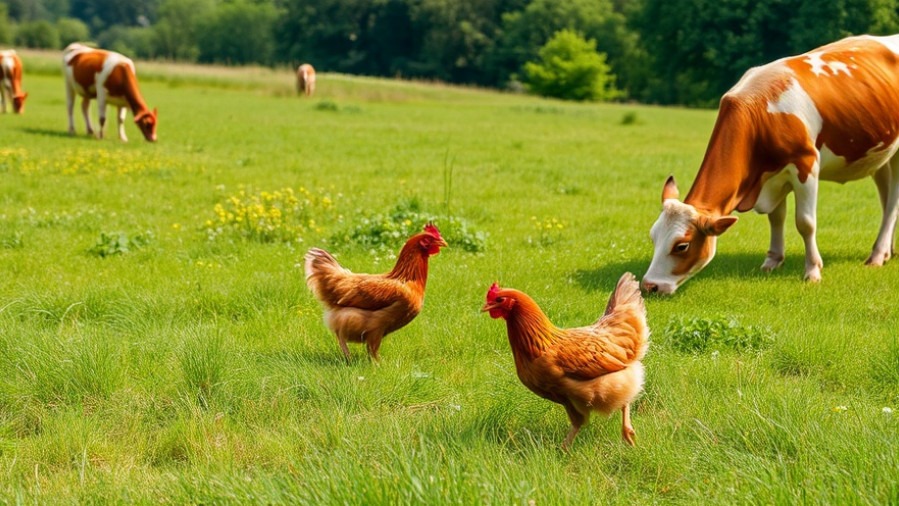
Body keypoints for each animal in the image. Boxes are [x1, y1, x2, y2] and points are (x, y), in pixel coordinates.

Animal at [642, 34, 899, 295]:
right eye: (653, 237)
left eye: (681, 246)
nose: (649, 285)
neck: (759, 111)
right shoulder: (771, 176)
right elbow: (776, 217)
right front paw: (772, 261)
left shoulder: (806, 165)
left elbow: (805, 223)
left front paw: (812, 271)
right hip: (881, 156)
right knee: (886, 196)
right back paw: (888, 251)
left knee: (892, 205)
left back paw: (877, 255)